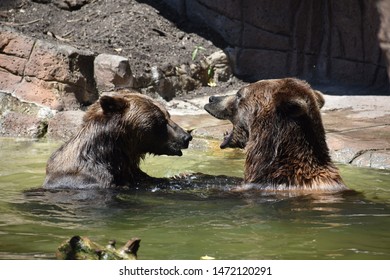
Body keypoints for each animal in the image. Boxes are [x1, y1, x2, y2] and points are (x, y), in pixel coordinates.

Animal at [43, 91, 193, 189]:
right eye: (161, 121)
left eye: (168, 115)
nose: (186, 137)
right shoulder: (93, 180)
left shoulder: (133, 173)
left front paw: (184, 175)